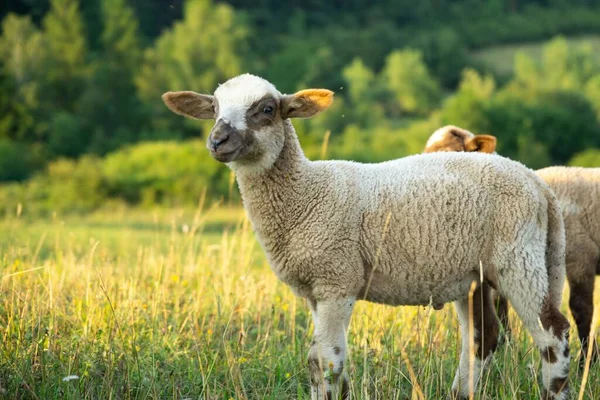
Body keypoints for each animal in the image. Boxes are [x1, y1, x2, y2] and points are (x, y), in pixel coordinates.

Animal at [162, 75, 568, 400]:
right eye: (214, 108)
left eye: (266, 109)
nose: (218, 140)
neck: (305, 194)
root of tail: (537, 184)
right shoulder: (317, 290)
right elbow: (331, 359)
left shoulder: (336, 278)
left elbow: (323, 362)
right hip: (479, 273)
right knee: (482, 337)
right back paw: (460, 393)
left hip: (518, 258)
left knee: (553, 334)